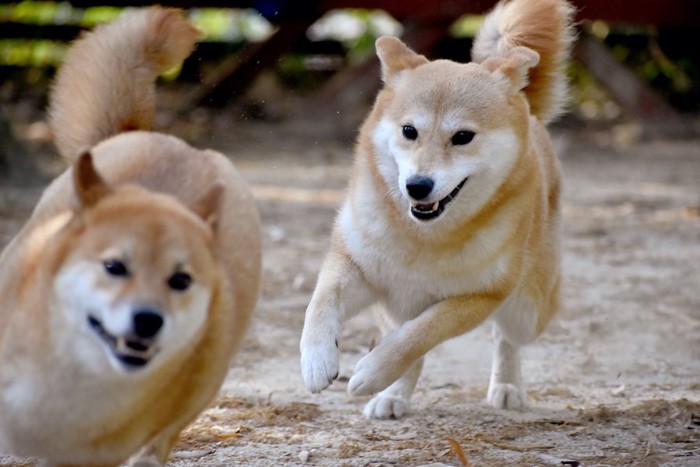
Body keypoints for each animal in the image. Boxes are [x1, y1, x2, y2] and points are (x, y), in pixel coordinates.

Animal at [300, 0, 576, 420]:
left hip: (526, 312)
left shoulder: (478, 297)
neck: (423, 238)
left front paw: (372, 371)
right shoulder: (357, 265)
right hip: (396, 304)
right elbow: (320, 303)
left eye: (463, 137)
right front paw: (317, 359)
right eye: (408, 131)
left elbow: (417, 336)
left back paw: (507, 386)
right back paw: (393, 396)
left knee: (505, 339)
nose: (417, 186)